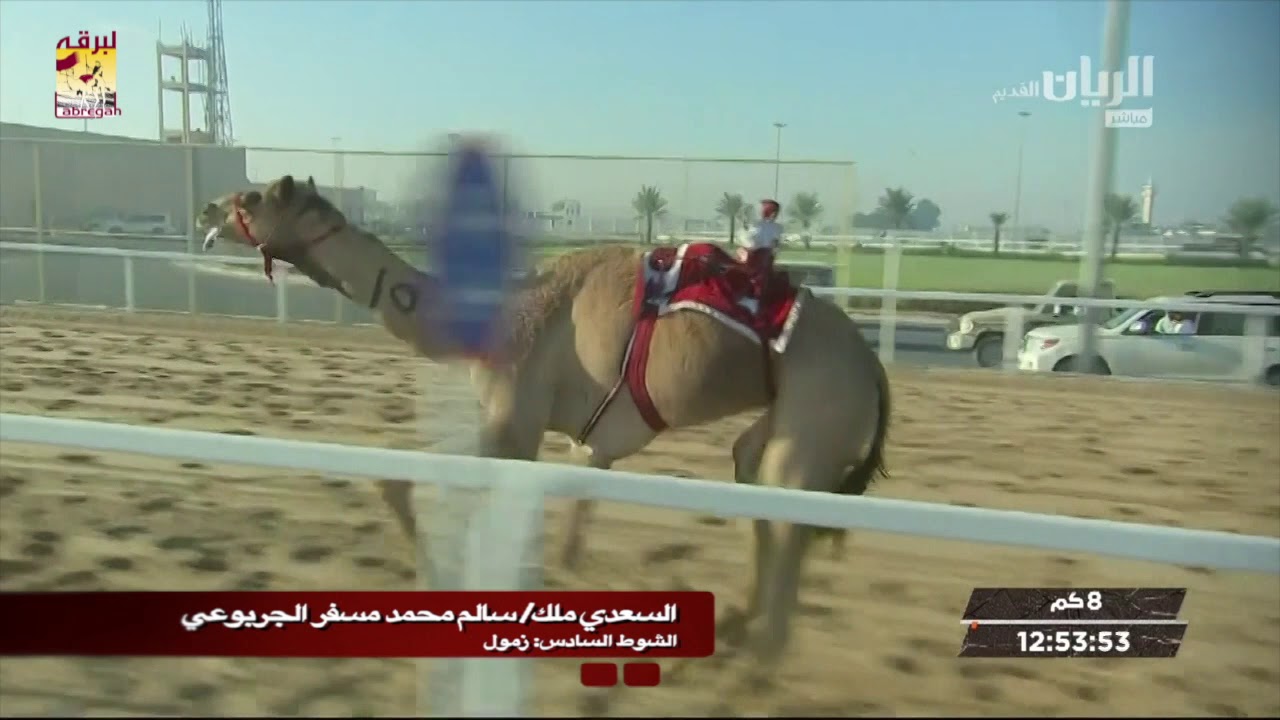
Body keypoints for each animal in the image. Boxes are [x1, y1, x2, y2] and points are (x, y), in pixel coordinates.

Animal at [196, 174, 891, 692]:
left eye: (252, 198)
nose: (206, 205)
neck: (495, 323)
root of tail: (873, 365)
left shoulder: (516, 422)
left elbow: (414, 479)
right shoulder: (578, 441)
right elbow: (563, 531)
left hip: (820, 408)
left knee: (788, 508)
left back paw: (759, 663)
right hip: (784, 421)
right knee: (757, 485)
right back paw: (735, 635)